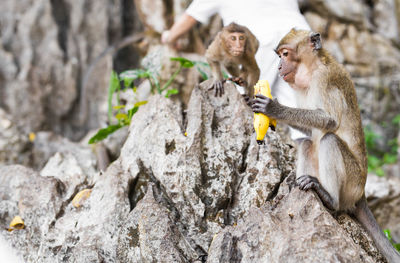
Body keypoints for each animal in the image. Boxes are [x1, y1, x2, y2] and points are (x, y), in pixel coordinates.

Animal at [253, 28, 400, 263]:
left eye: (285, 54)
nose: (279, 67)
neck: (313, 68)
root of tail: (362, 195)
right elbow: (309, 131)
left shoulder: (324, 79)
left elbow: (328, 121)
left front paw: (274, 108)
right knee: (307, 143)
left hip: (352, 184)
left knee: (328, 140)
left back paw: (329, 199)